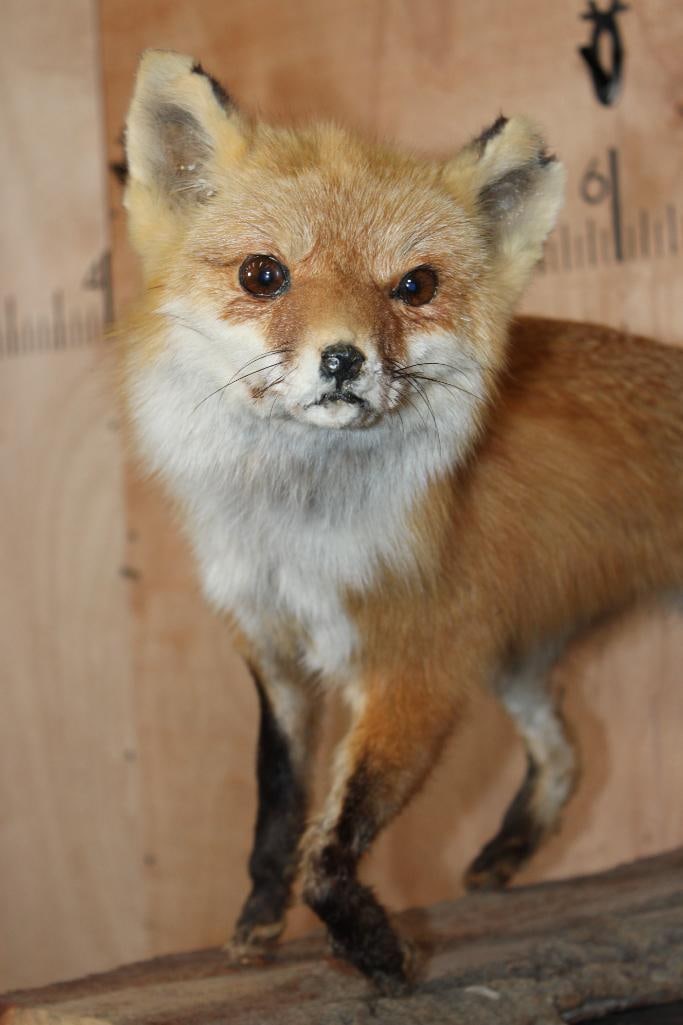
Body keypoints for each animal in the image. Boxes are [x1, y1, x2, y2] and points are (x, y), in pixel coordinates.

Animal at [118, 50, 683, 993]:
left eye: (413, 287)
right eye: (262, 274)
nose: (343, 359)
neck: (300, 536)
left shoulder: (418, 665)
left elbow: (329, 845)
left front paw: (377, 952)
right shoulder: (274, 647)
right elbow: (277, 806)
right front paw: (257, 921)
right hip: (516, 659)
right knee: (564, 751)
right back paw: (504, 853)